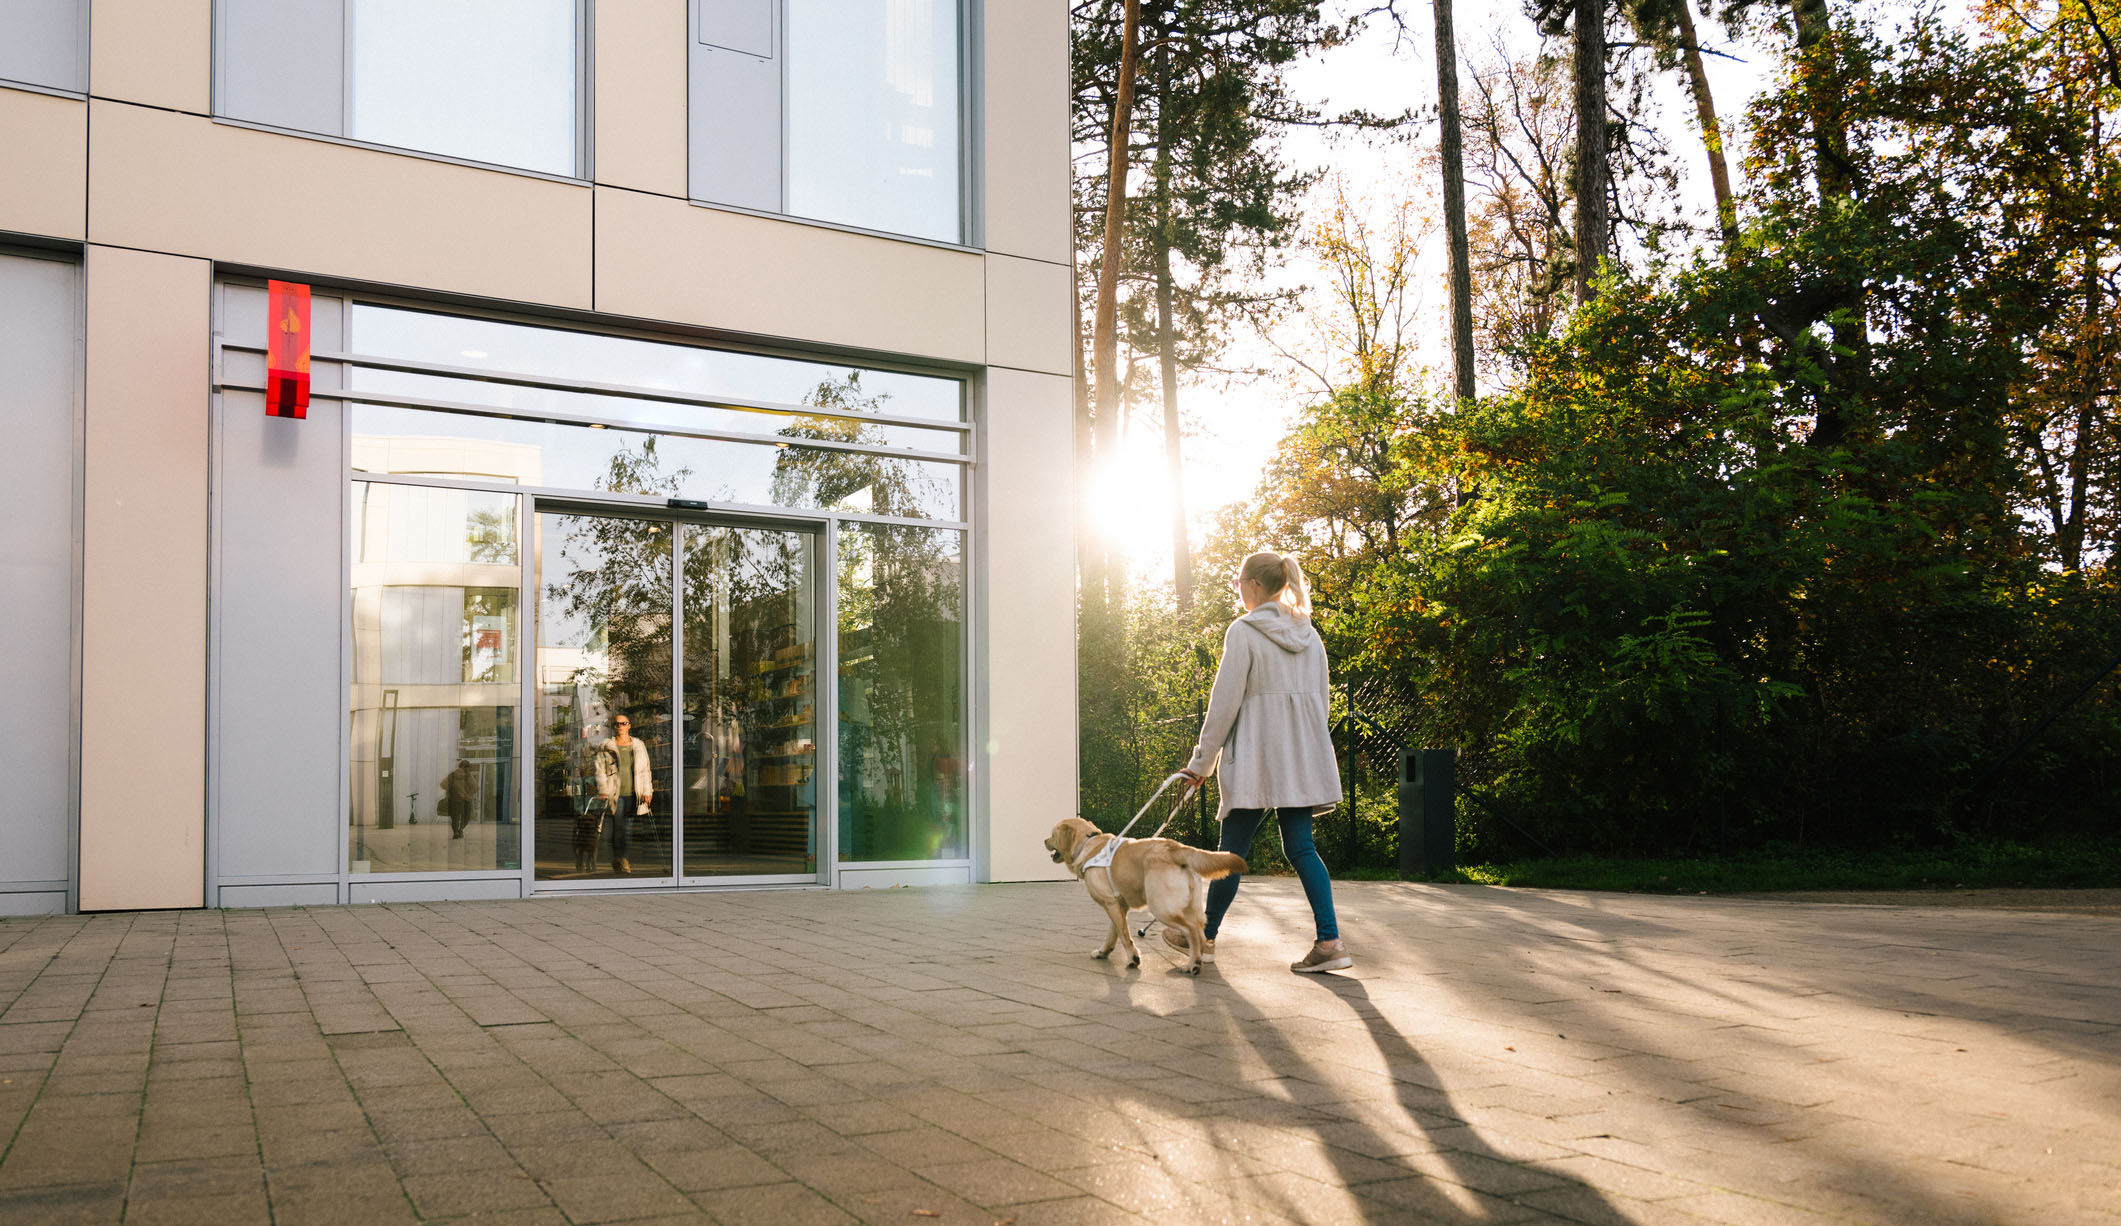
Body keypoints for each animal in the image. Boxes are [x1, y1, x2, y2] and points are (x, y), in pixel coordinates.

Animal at [1043, 814, 1238, 967]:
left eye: (1052, 834)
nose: (1044, 840)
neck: (1087, 844)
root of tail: (1176, 848)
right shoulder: (1118, 905)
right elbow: (1113, 934)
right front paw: (1103, 952)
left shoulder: (1110, 903)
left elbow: (1124, 935)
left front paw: (1133, 959)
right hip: (1192, 907)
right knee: (1200, 932)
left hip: (1161, 908)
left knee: (1191, 930)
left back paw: (1192, 965)